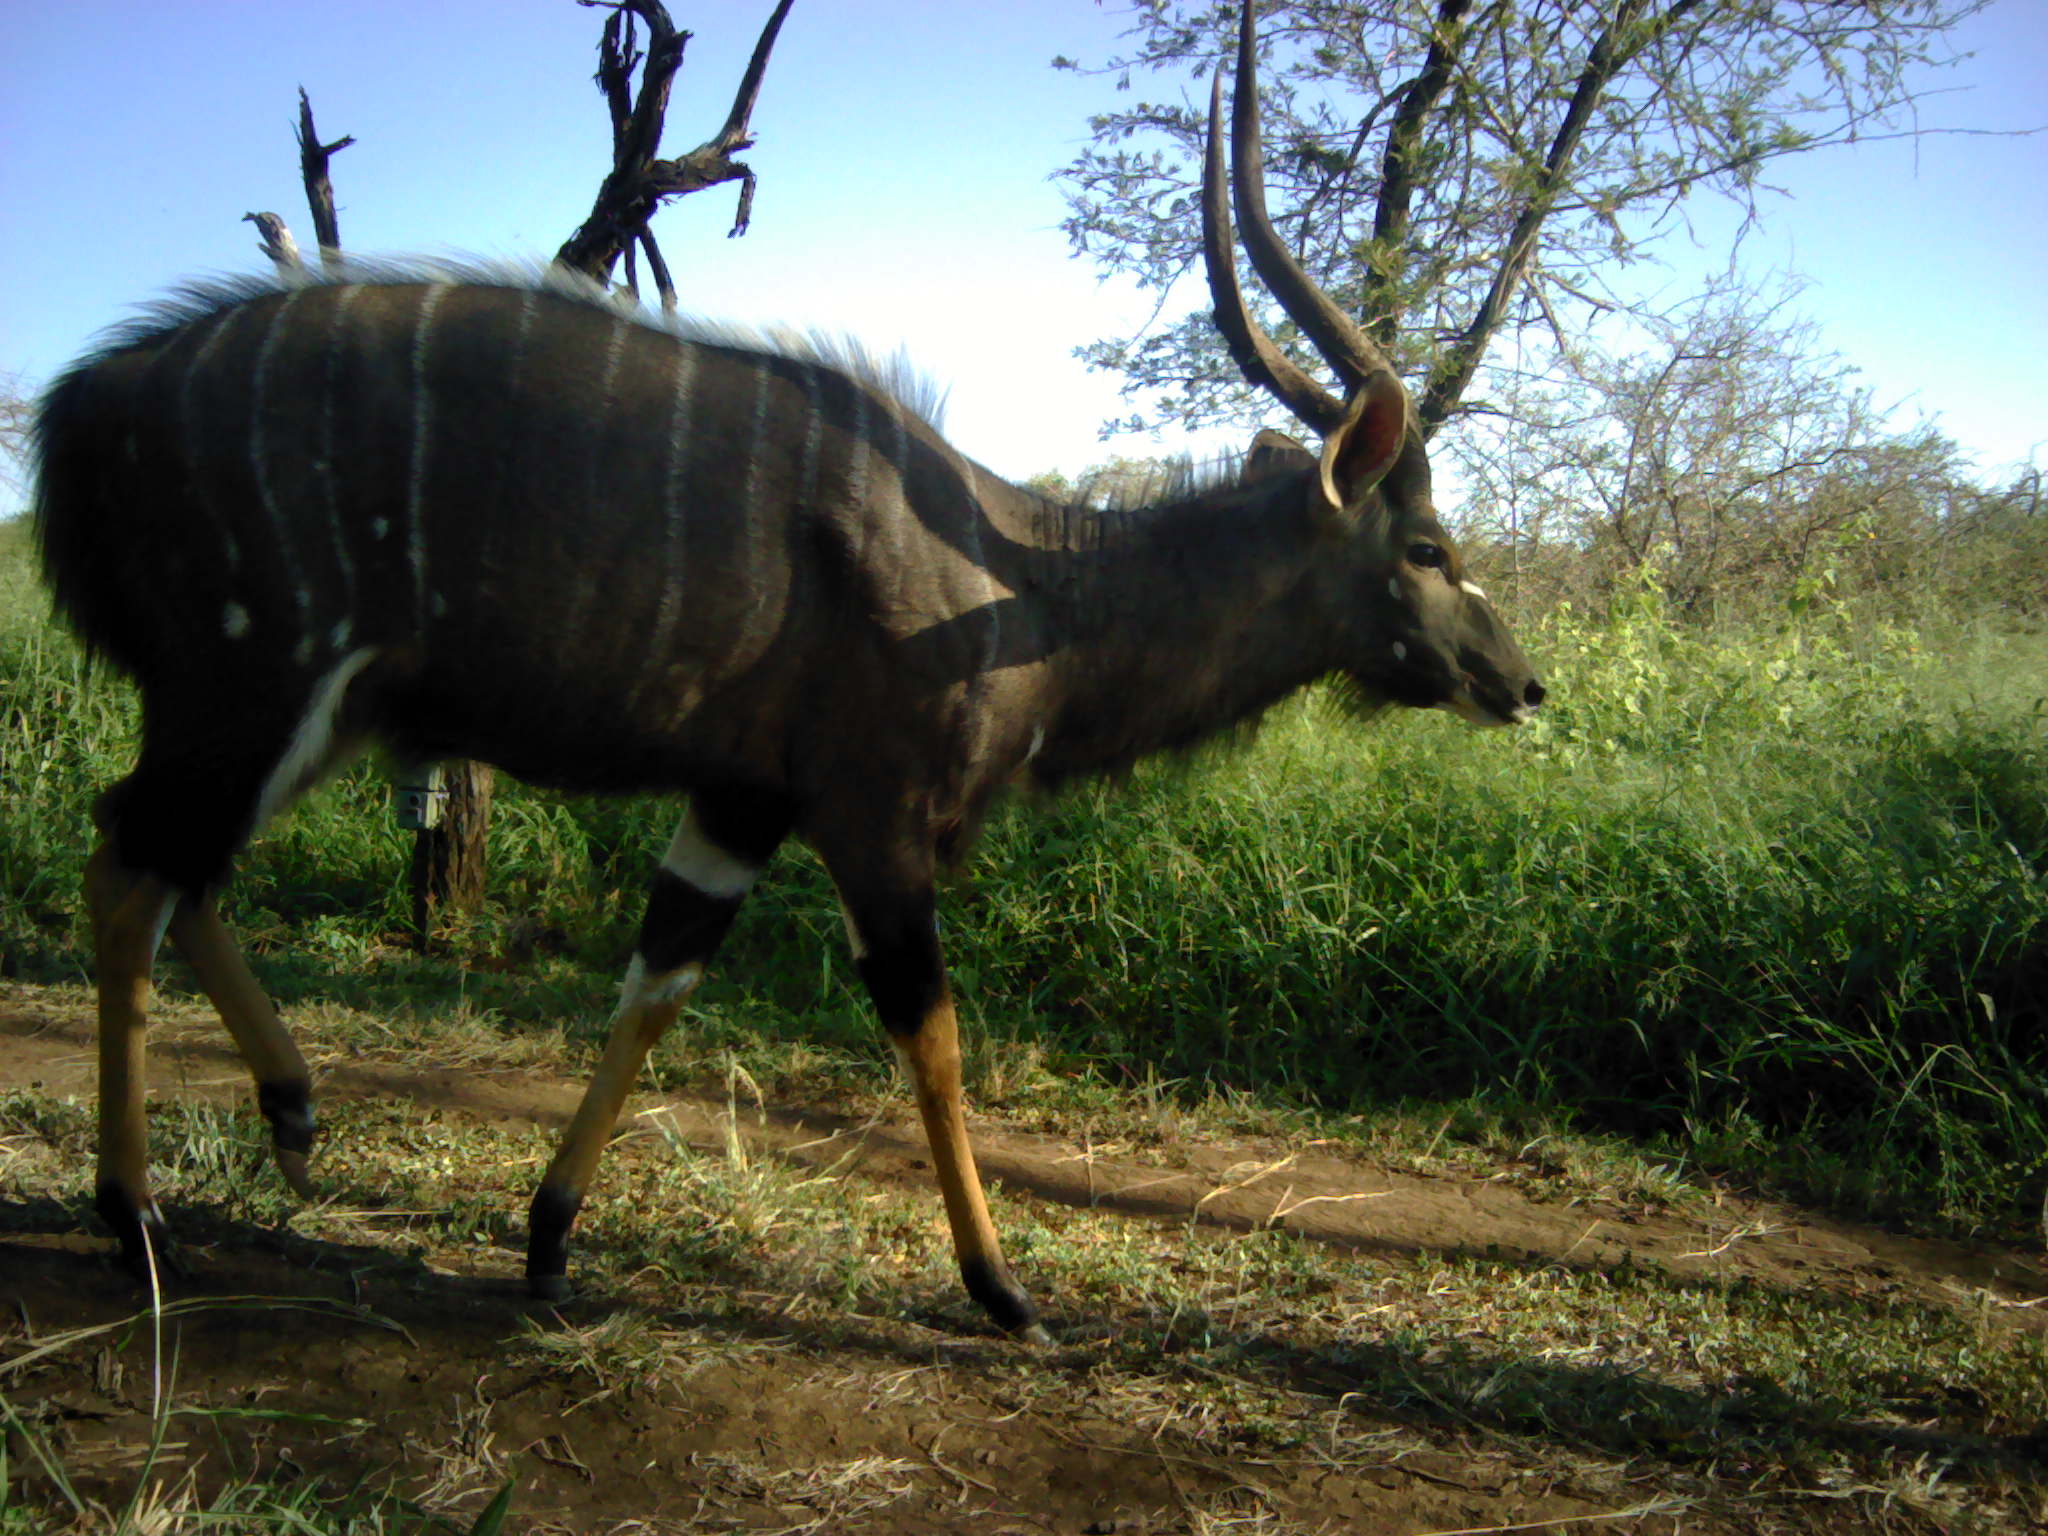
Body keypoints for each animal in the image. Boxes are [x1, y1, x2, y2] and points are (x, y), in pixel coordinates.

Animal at [31, 4, 1542, 1345]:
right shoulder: (871, 817)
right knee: (128, 865)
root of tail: (82, 405)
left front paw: (550, 1239)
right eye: (1427, 545)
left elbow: (654, 985)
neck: (1021, 586)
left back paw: (293, 1117)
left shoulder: (739, 805)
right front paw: (1002, 1291)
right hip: (249, 688)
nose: (1520, 686)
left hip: (317, 717)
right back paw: (134, 1215)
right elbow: (930, 1030)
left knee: (173, 864)